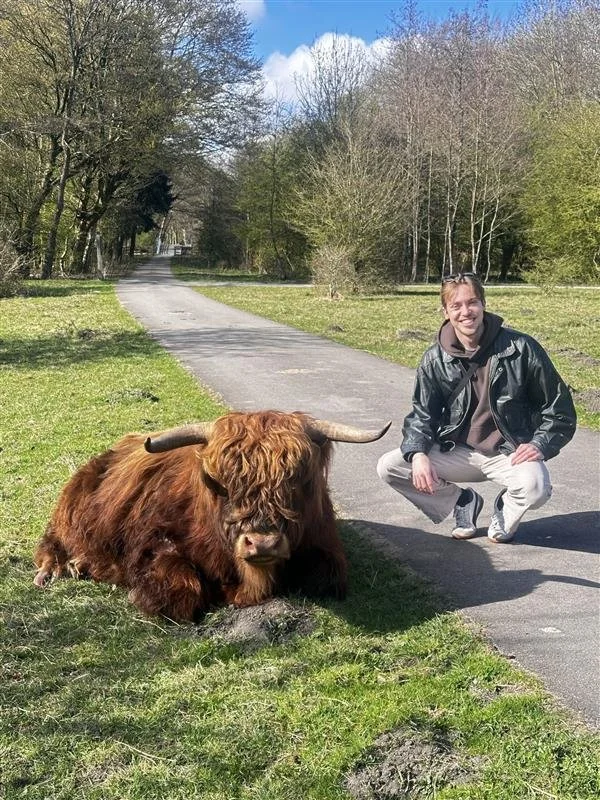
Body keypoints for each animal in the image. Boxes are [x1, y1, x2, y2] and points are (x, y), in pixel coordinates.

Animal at [33, 410, 390, 621]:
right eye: (220, 482)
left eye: (298, 478)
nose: (262, 543)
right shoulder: (150, 543)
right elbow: (183, 589)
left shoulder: (325, 547)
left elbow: (324, 577)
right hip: (68, 514)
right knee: (51, 543)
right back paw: (54, 571)